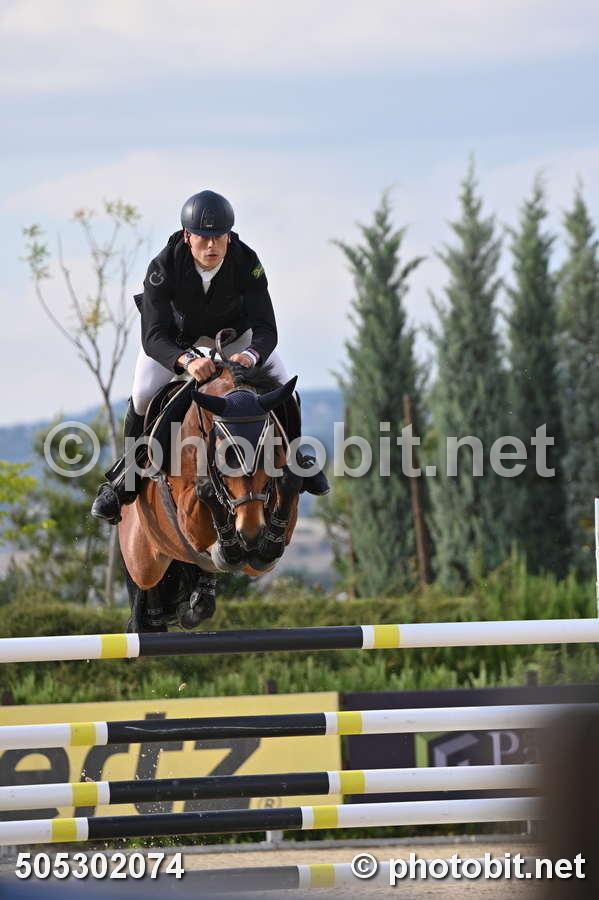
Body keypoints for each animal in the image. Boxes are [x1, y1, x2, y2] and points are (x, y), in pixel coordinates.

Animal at [118, 359, 302, 632]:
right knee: (146, 584)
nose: (250, 533)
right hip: (142, 558)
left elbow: (289, 484)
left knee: (202, 577)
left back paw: (194, 606)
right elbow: (204, 491)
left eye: (270, 450)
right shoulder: (188, 518)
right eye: (224, 452)